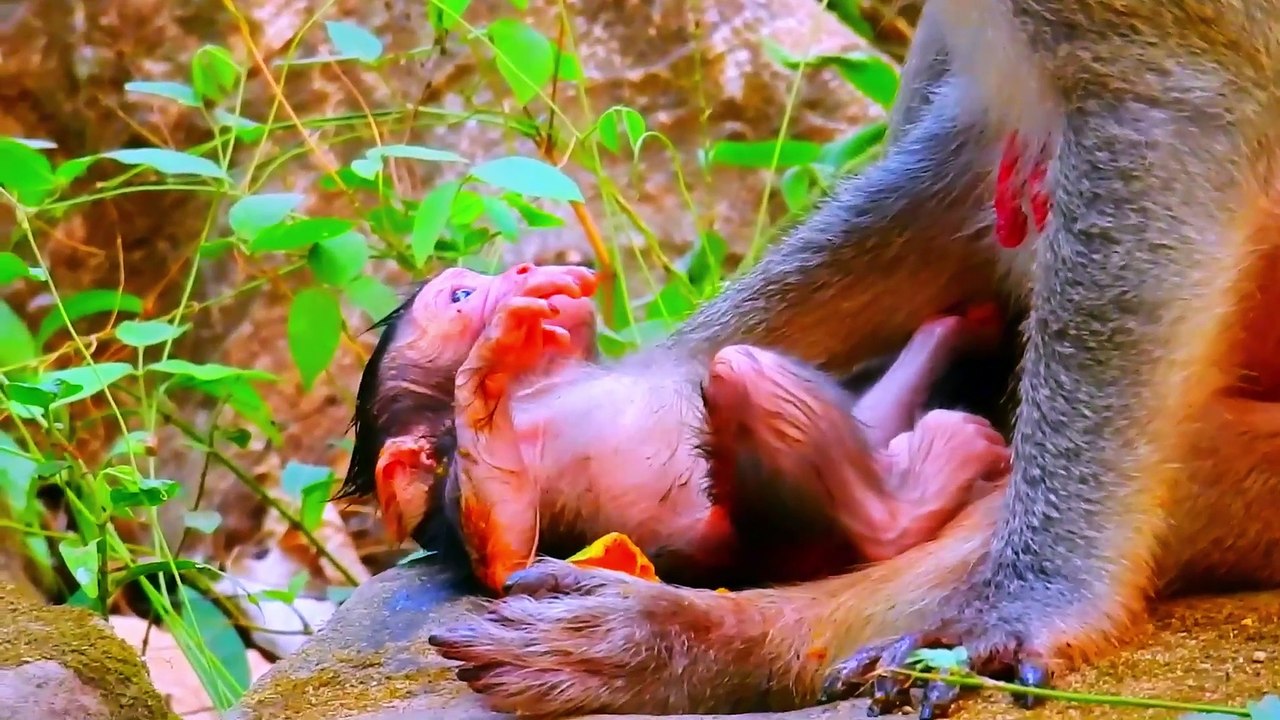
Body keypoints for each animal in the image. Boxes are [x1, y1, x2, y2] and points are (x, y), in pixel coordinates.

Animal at [339, 261, 1012, 594]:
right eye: (460, 297)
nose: (522, 269)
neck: (546, 381)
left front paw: (958, 324)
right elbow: (508, 558)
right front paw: (491, 358)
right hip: (775, 536)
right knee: (740, 371)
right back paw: (906, 507)